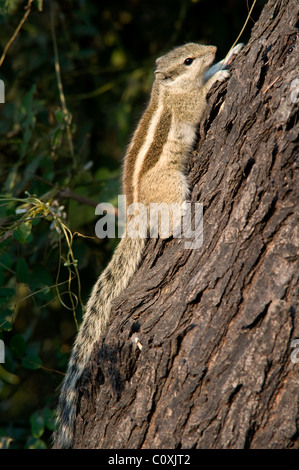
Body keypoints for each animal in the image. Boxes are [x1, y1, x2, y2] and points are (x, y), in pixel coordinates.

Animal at [52, 41, 243, 448]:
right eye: (187, 59)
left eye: (193, 48)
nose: (212, 47)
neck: (168, 89)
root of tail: (136, 210)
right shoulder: (188, 105)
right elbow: (201, 100)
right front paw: (217, 75)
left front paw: (229, 55)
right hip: (173, 187)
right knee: (167, 226)